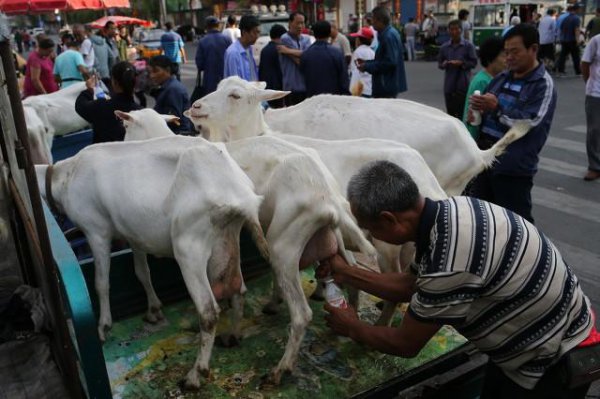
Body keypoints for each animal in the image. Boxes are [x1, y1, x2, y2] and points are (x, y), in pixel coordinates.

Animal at [34, 138, 266, 390]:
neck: (66, 175)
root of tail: (240, 192)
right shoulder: (133, 234)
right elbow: (141, 272)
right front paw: (154, 309)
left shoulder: (96, 232)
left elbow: (101, 283)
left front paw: (103, 326)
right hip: (224, 240)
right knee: (237, 289)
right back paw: (232, 336)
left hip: (189, 245)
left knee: (208, 311)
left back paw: (195, 375)